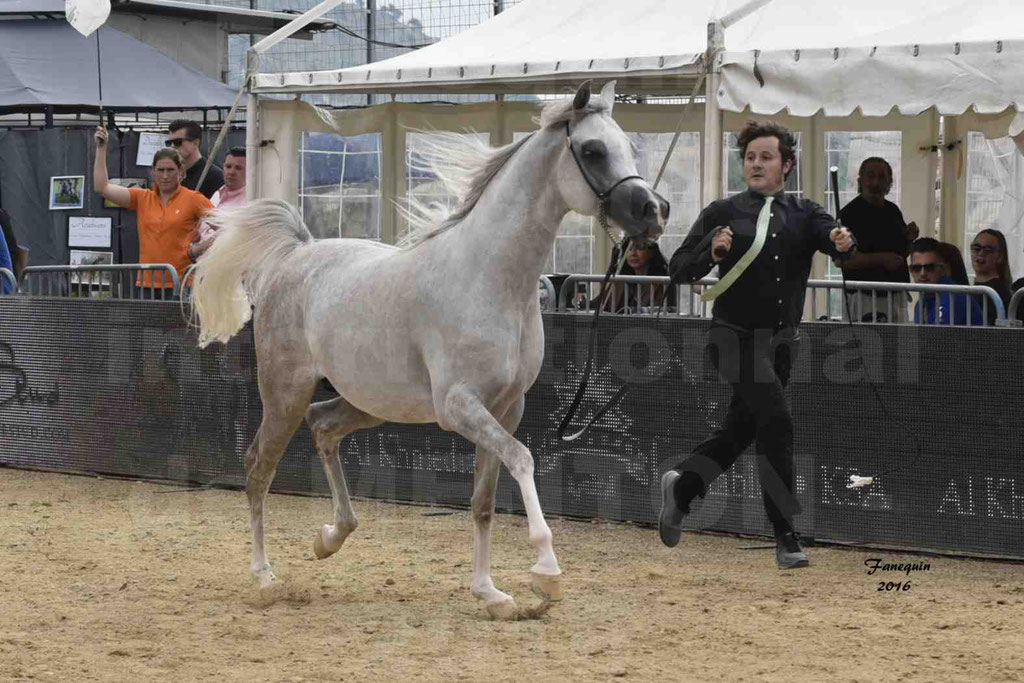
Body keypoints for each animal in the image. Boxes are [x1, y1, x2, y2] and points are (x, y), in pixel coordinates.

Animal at [190, 81, 671, 618]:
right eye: (592, 151)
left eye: (629, 147)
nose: (654, 213)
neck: (489, 278)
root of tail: (297, 253)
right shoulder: (459, 405)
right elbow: (523, 460)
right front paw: (546, 573)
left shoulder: (506, 409)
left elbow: (483, 502)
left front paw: (491, 594)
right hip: (284, 394)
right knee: (259, 467)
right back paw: (265, 578)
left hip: (370, 402)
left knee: (323, 427)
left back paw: (330, 537)